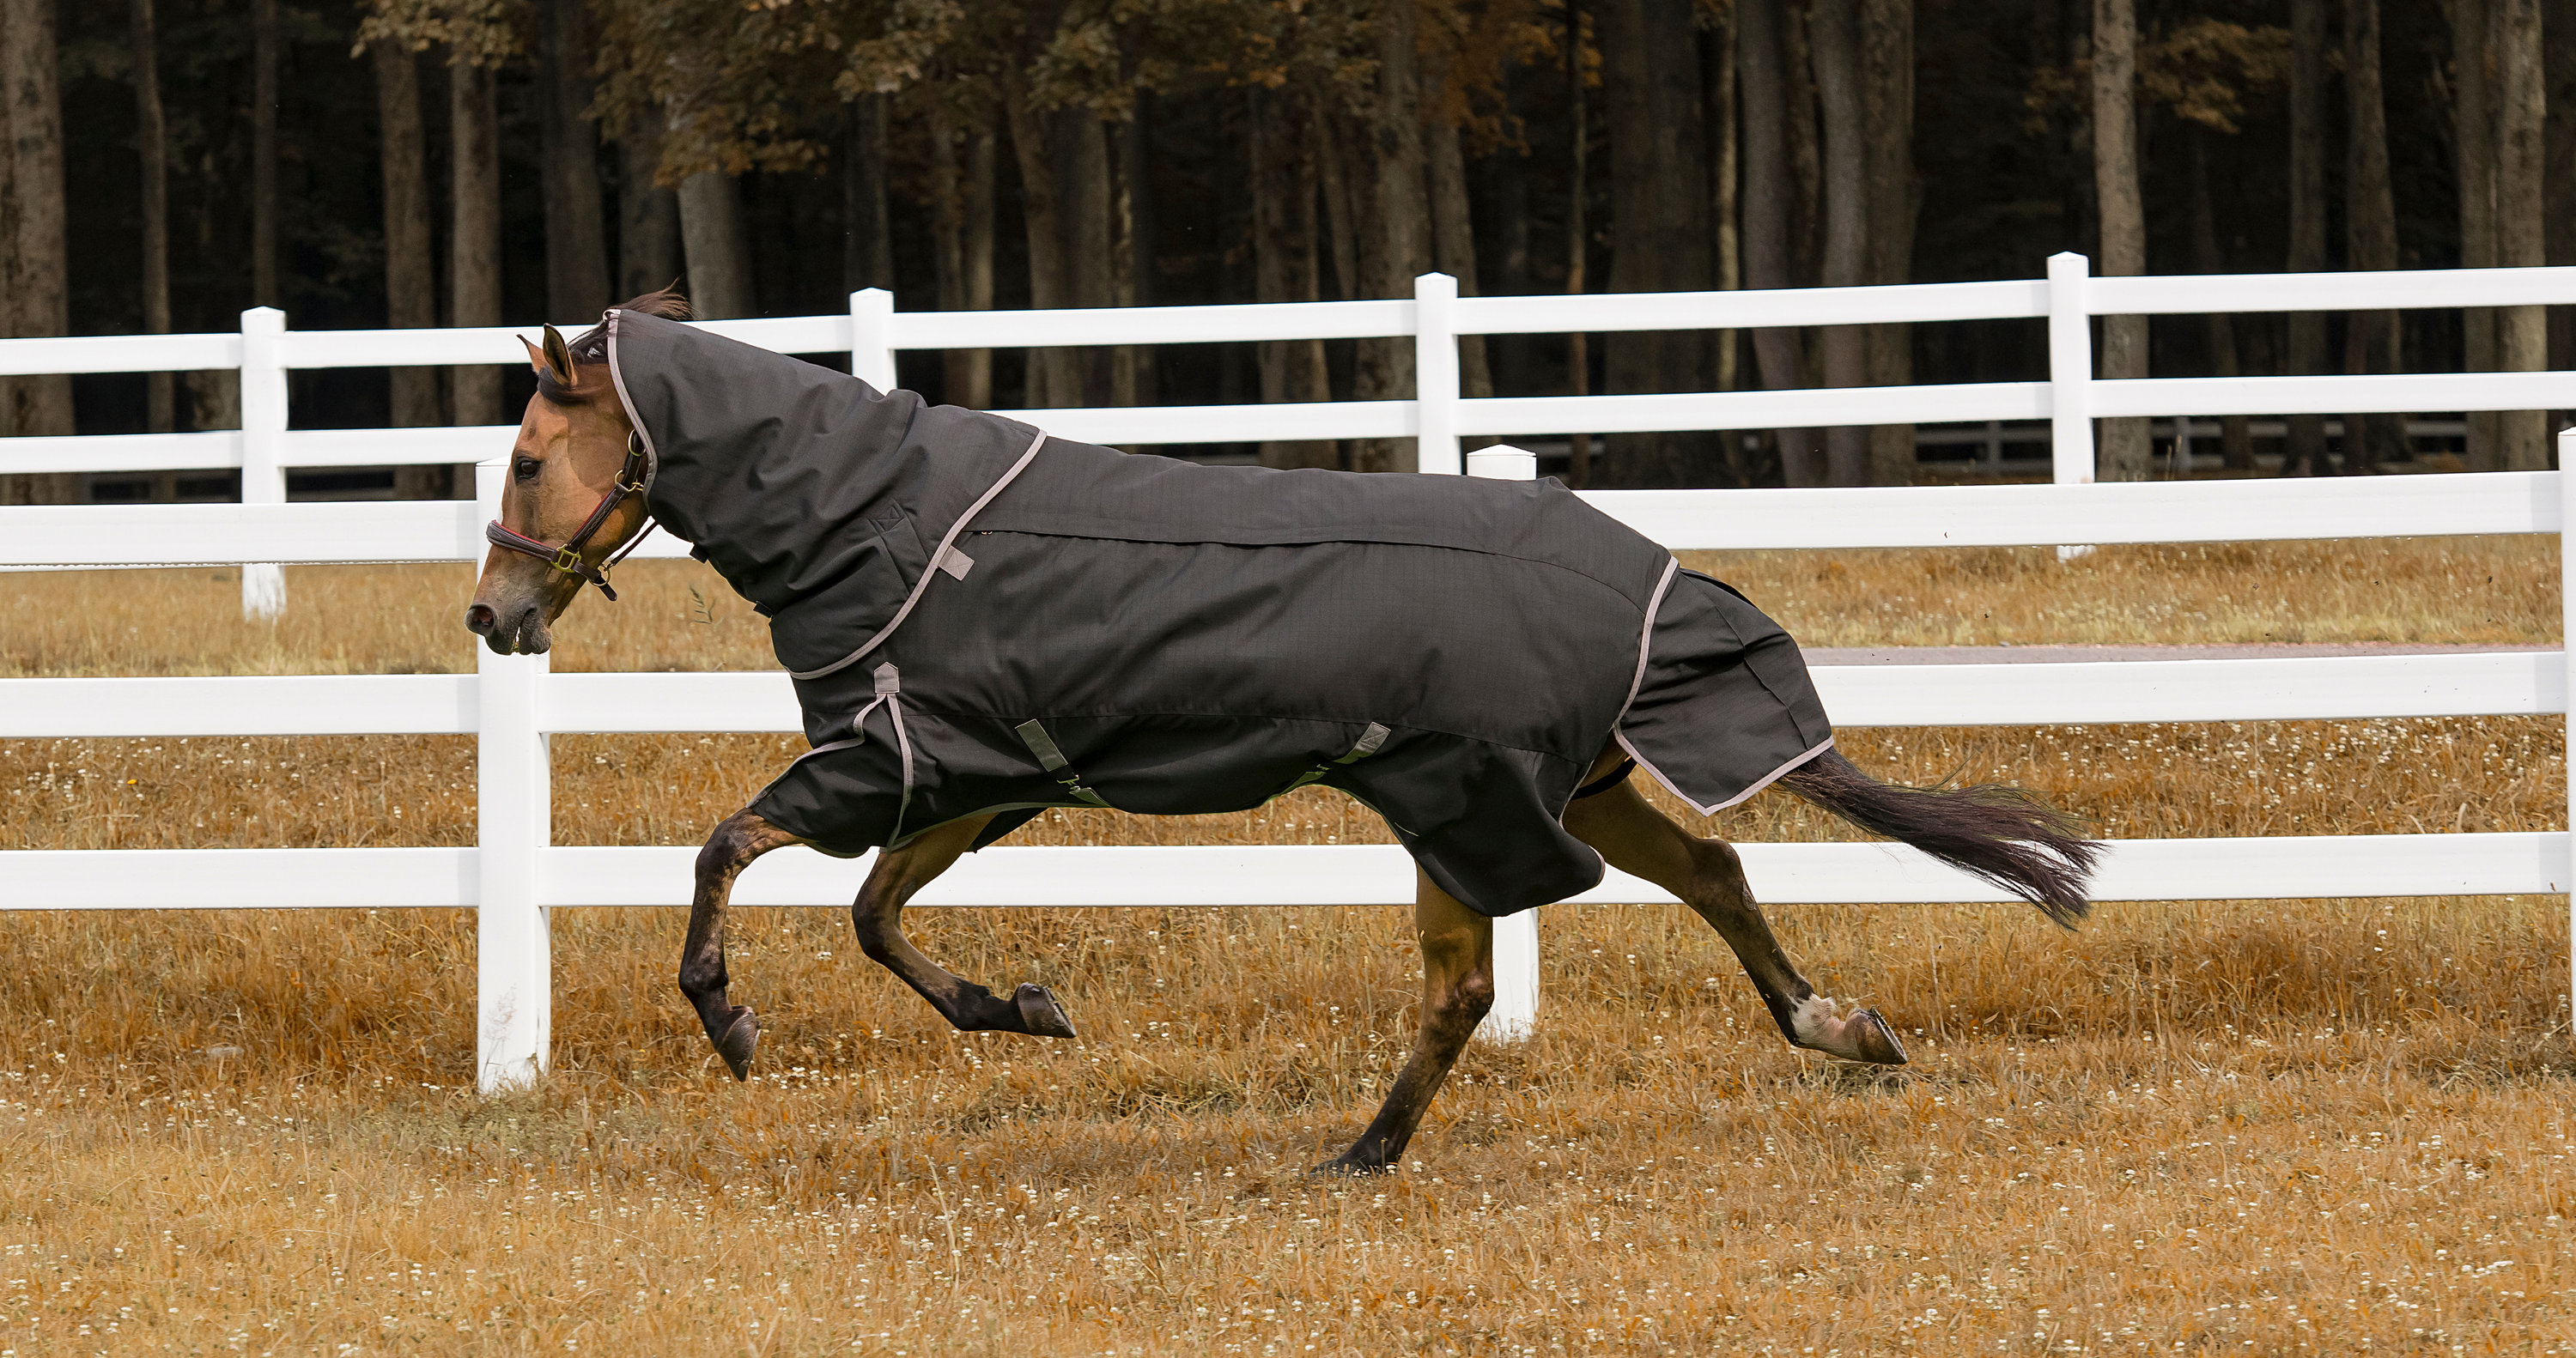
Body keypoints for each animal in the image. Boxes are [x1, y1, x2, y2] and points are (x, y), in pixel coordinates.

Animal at [474, 292, 2102, 1174]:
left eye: (533, 455)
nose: (494, 615)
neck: (886, 520)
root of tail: (1653, 579)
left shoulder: (898, 762)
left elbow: (729, 848)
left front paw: (727, 1016)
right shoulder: (980, 777)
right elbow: (876, 918)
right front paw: (1025, 1009)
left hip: (1462, 798)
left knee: (1480, 977)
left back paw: (1368, 1148)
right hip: (1543, 787)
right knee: (1701, 877)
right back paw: (1834, 1029)